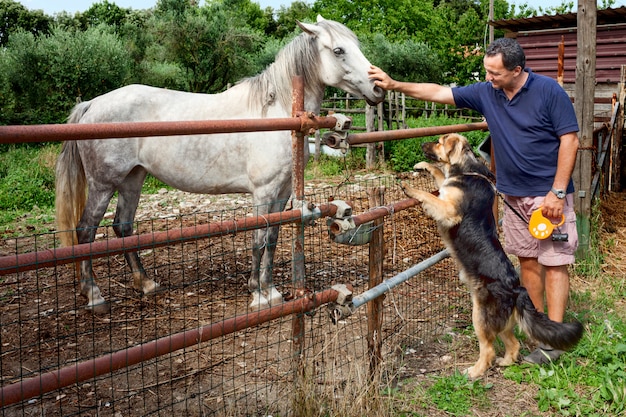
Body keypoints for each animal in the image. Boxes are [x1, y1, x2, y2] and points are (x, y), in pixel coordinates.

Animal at [54, 14, 386, 310]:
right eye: (339, 50)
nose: (379, 89)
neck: (276, 112)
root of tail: (91, 104)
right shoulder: (263, 193)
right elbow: (259, 239)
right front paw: (259, 296)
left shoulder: (282, 193)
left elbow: (273, 239)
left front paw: (271, 291)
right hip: (103, 184)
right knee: (86, 231)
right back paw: (94, 296)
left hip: (132, 180)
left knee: (122, 227)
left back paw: (146, 284)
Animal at [400, 132, 580, 376]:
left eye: (438, 141)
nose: (420, 144)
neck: (466, 170)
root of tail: (516, 289)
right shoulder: (446, 193)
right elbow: (440, 175)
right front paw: (423, 165)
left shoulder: (448, 210)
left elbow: (429, 196)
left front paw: (409, 187)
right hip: (501, 320)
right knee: (513, 344)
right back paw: (506, 362)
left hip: (480, 316)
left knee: (488, 349)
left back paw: (474, 372)